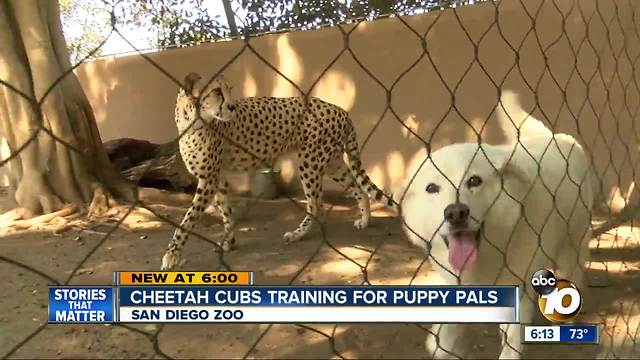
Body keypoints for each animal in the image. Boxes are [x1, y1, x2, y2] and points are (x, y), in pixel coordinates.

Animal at [161, 74, 396, 270]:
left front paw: (172, 255)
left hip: (310, 161)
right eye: (217, 91)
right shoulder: (218, 178)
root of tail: (341, 110)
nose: (232, 106)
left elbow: (187, 220)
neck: (192, 120)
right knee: (358, 188)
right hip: (333, 162)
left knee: (316, 202)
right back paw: (365, 220)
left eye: (229, 89)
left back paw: (298, 234)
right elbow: (225, 211)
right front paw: (229, 242)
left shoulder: (208, 180)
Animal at [400, 91, 596, 358]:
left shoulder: (519, 286)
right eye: (432, 188)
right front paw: (444, 343)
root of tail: (555, 137)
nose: (455, 212)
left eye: (474, 181)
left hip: (572, 246)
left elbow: (511, 341)